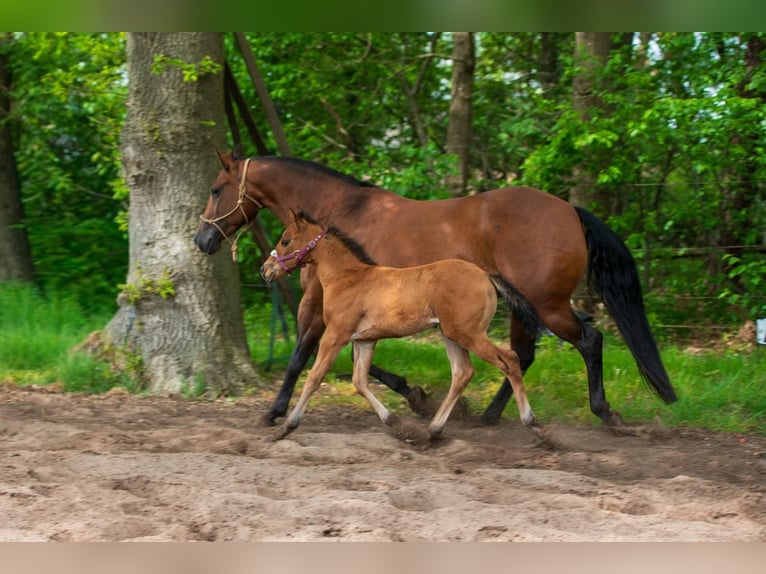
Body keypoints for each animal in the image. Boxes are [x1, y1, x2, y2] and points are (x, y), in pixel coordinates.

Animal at [260, 210, 541, 440]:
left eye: (285, 240)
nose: (265, 269)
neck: (348, 278)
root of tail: (485, 275)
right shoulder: (365, 340)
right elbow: (359, 381)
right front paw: (394, 421)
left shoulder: (336, 335)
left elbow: (314, 377)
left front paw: (287, 426)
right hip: (451, 334)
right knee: (463, 373)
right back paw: (433, 430)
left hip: (468, 333)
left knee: (509, 359)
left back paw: (533, 423)